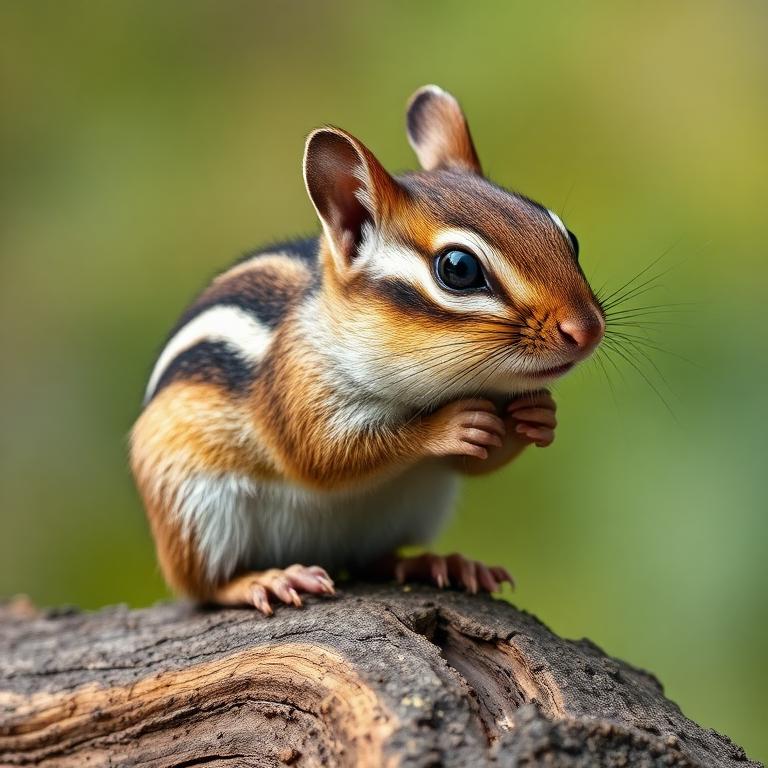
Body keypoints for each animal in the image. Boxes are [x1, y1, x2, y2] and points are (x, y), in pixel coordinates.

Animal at [130, 85, 605, 614]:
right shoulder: (297, 388)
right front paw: (447, 426)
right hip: (192, 508)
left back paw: (438, 563)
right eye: (458, 268)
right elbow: (323, 455)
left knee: (374, 560)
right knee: (203, 586)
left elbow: (472, 463)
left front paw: (539, 415)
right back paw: (264, 580)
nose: (588, 330)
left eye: (567, 236)